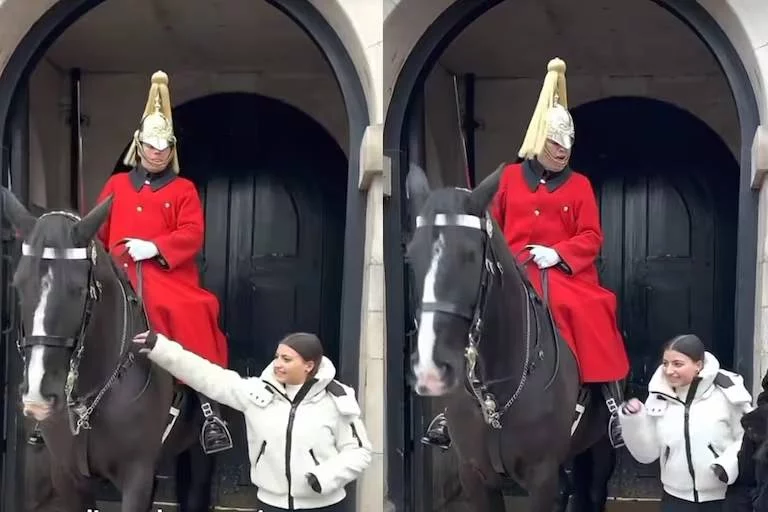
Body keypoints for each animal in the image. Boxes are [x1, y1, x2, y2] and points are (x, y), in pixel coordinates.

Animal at [404, 165, 616, 512]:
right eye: (410, 256)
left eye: (470, 255)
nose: (430, 371)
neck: (496, 394)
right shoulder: (474, 476)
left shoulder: (541, 479)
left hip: (599, 449)